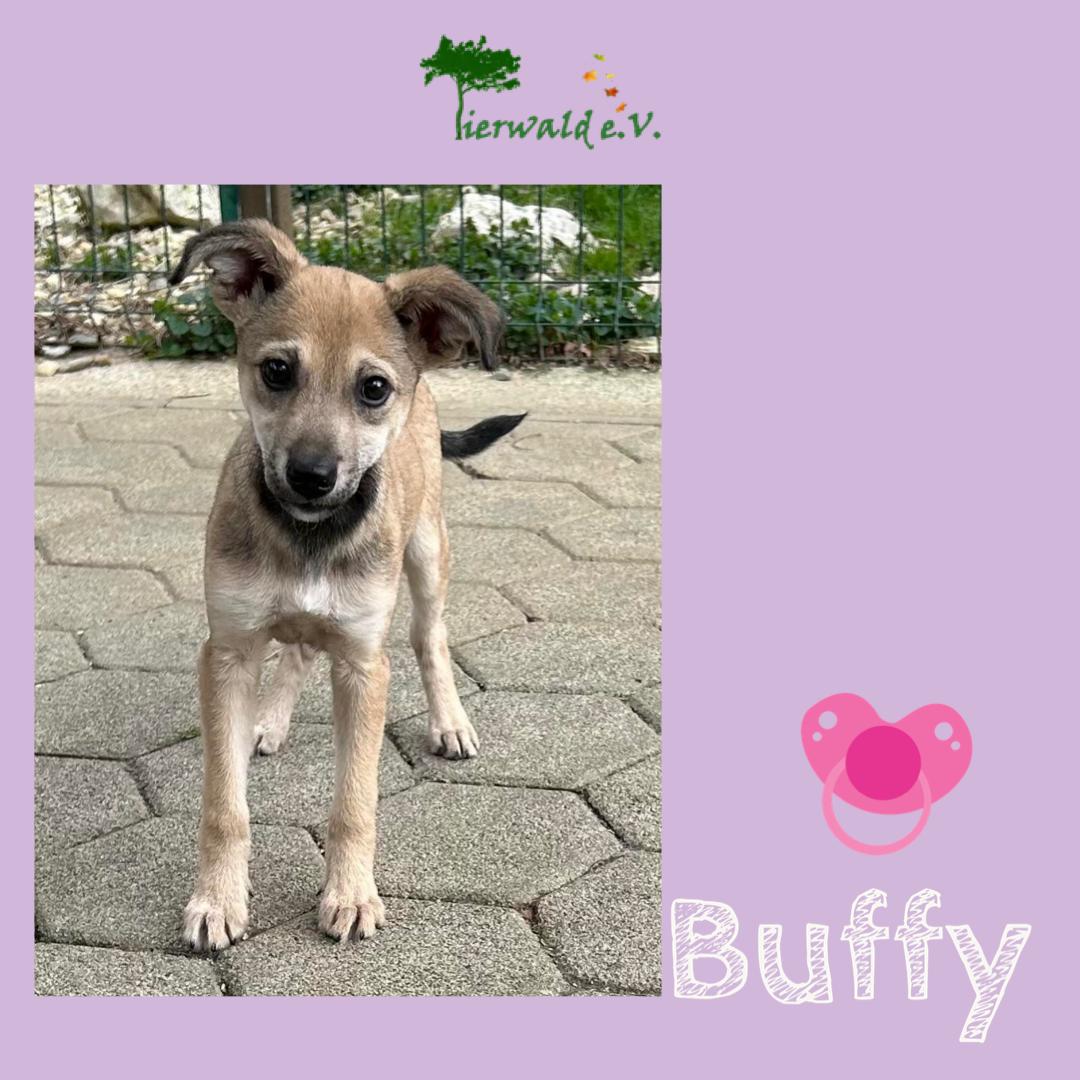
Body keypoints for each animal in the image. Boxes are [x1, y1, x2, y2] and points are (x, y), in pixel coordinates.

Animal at [167, 220, 524, 951]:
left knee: (429, 637)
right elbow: (224, 804)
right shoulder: (228, 651)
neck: (309, 537)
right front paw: (217, 900)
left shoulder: (364, 664)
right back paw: (268, 720)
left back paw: (450, 723)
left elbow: (355, 801)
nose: (311, 476)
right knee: (301, 647)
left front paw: (352, 895)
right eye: (277, 371)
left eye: (374, 388)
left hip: (427, 554)